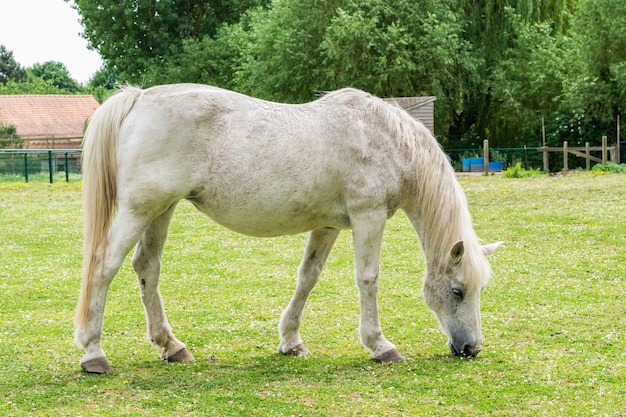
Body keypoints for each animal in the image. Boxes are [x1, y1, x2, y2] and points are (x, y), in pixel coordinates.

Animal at [74, 83, 502, 372]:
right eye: (457, 290)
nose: (471, 348)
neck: (385, 137)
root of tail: (139, 98)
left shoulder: (328, 226)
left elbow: (307, 277)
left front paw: (291, 341)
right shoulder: (368, 216)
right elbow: (368, 279)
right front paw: (380, 345)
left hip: (161, 210)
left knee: (146, 268)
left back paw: (171, 346)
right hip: (139, 211)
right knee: (104, 267)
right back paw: (94, 352)